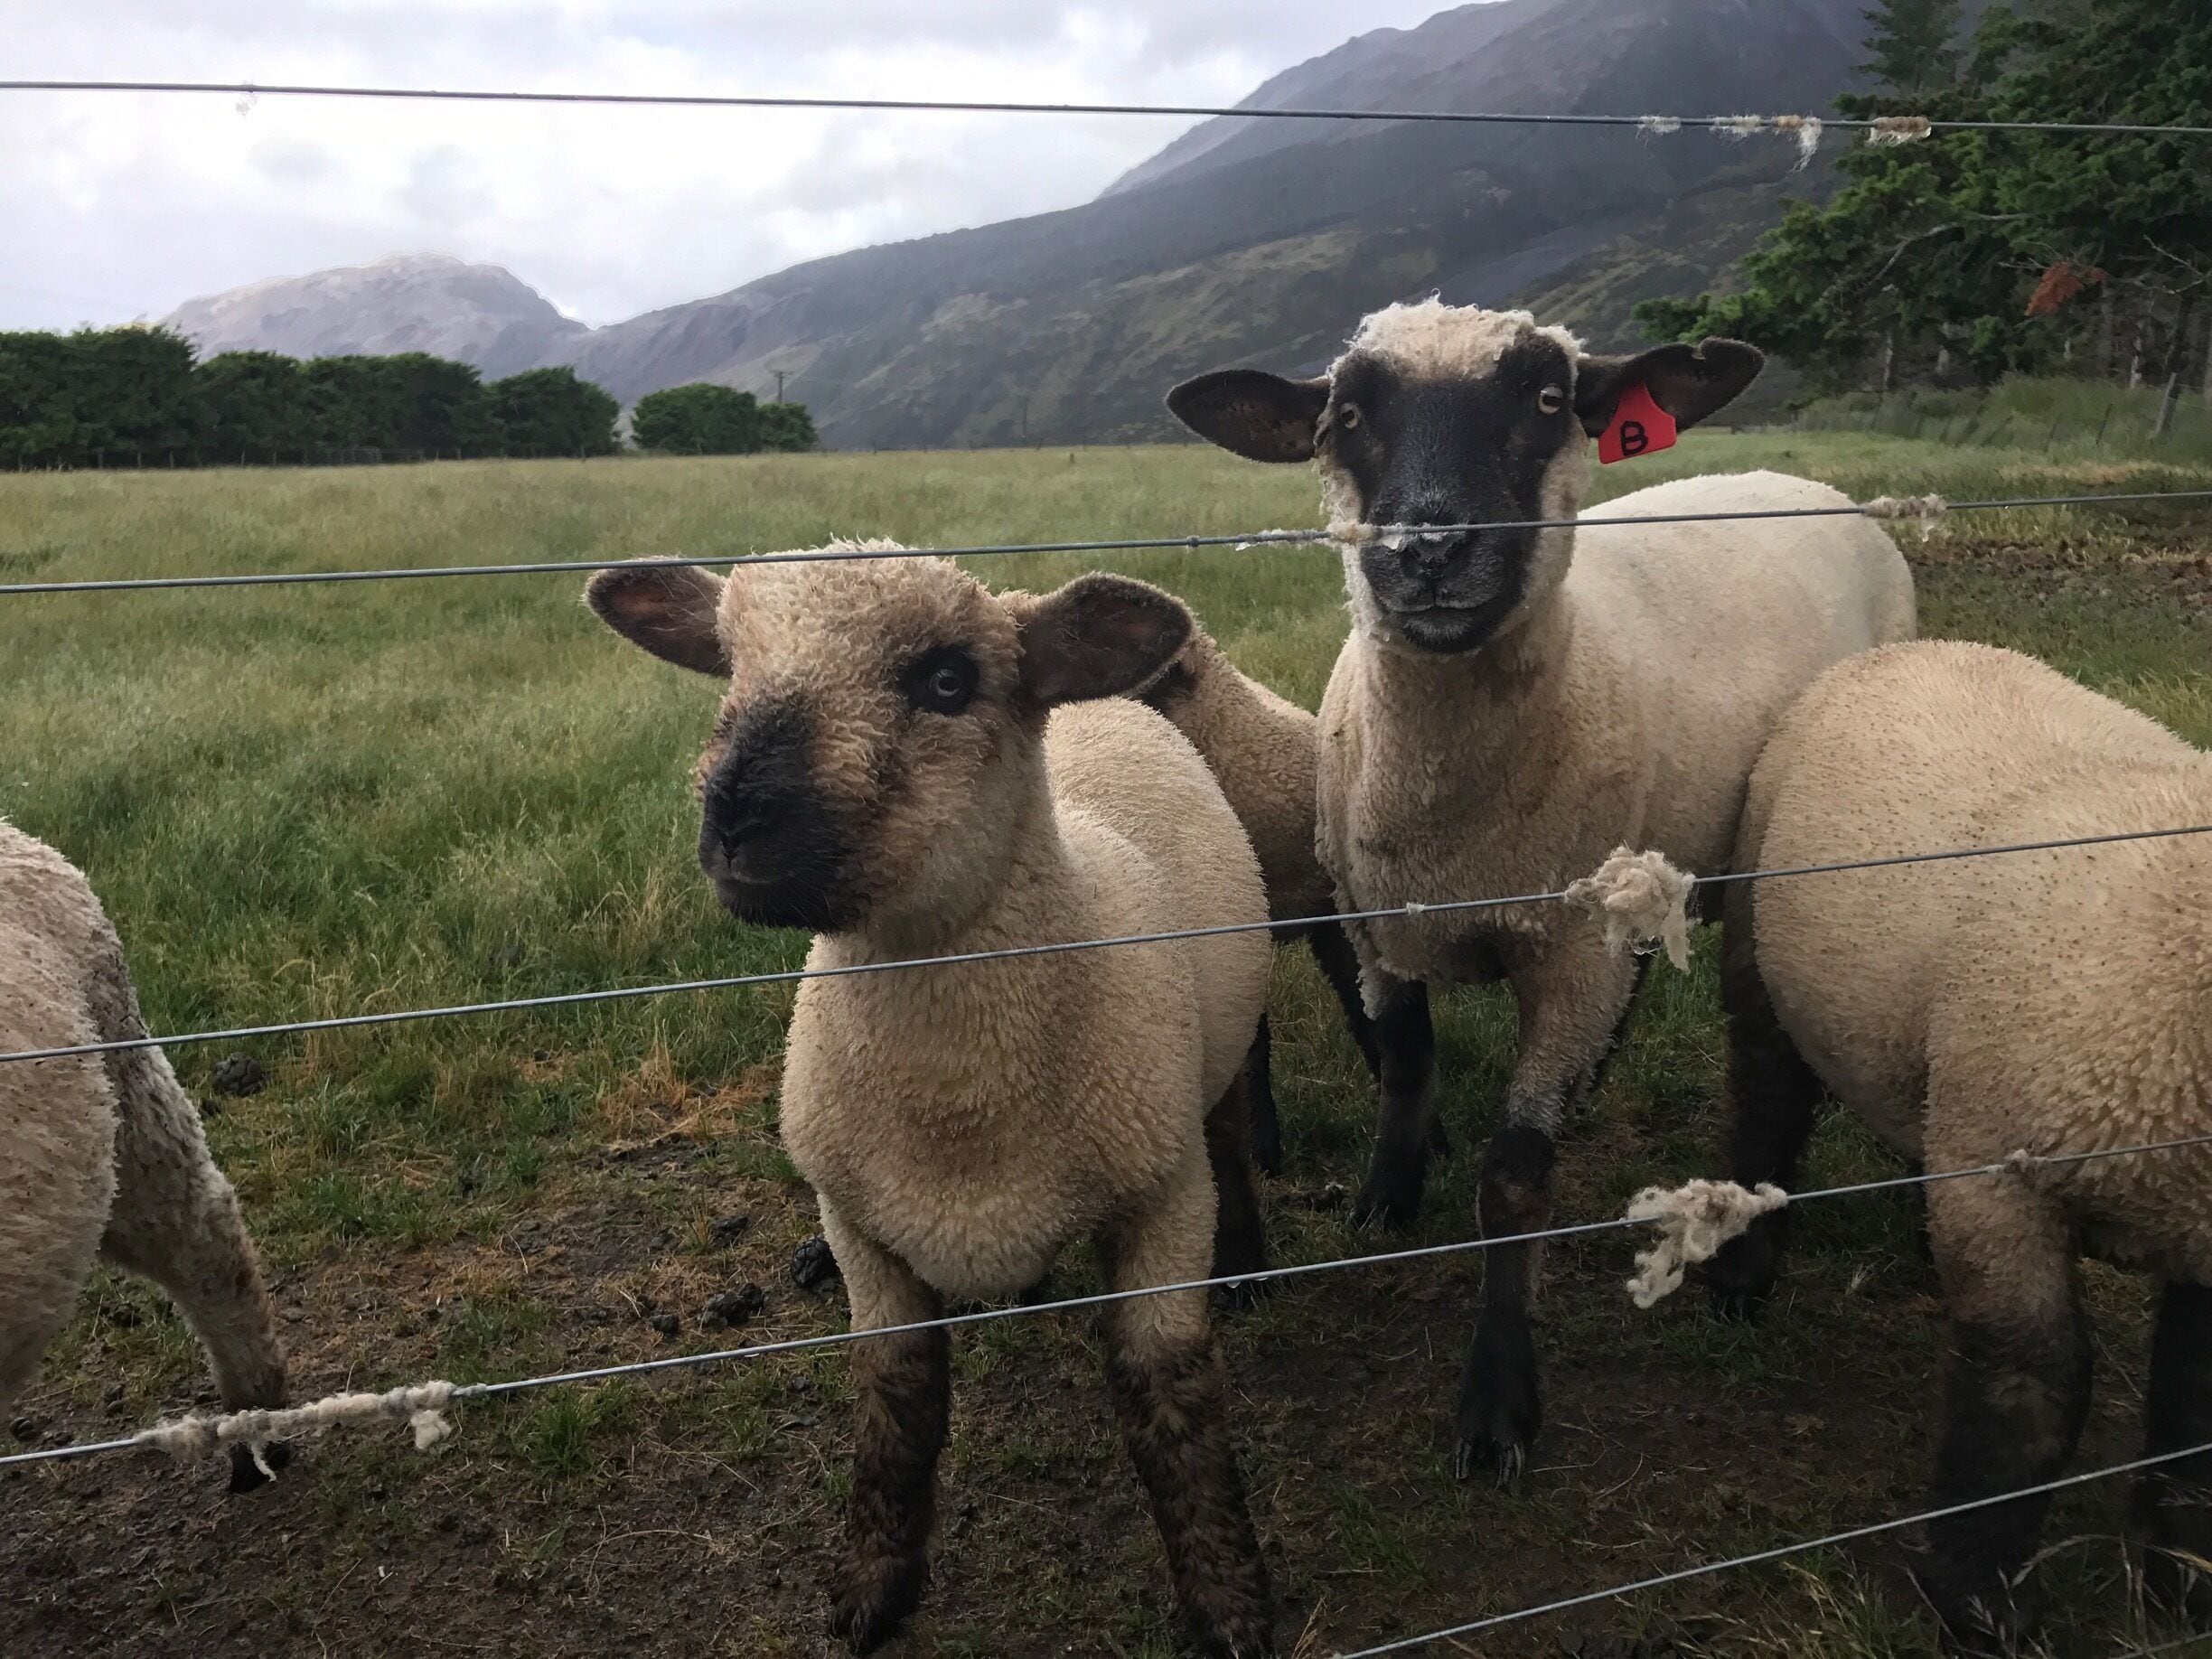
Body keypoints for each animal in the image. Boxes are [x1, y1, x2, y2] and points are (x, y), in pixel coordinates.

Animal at [584, 548, 1277, 1657]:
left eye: (949, 680)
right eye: (733, 664)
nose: (739, 819)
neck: (959, 1108)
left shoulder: (1162, 1198)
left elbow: (1171, 1395)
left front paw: (1226, 1599)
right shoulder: (860, 1227)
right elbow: (897, 1402)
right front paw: (871, 1589)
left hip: (1208, 1060)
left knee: (1227, 1128)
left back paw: (1248, 1262)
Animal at [1167, 297, 1917, 1479]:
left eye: (1551, 399)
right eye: (1345, 415)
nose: (1429, 550)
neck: (1453, 816)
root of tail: (1811, 486)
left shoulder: (1567, 958)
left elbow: (1515, 1175)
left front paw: (1497, 1405)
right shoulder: (1377, 923)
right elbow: (1404, 1061)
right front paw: (1384, 1200)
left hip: (1789, 848)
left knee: (1768, 1044)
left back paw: (1744, 1275)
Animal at [1704, 639, 2212, 1652]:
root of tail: (1923, 644)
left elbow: (2196, 1396)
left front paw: (2182, 1581)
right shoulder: (2003, 1177)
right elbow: (2030, 1381)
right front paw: (1973, 1598)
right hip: (1758, 943)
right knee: (1768, 1101)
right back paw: (1740, 1276)